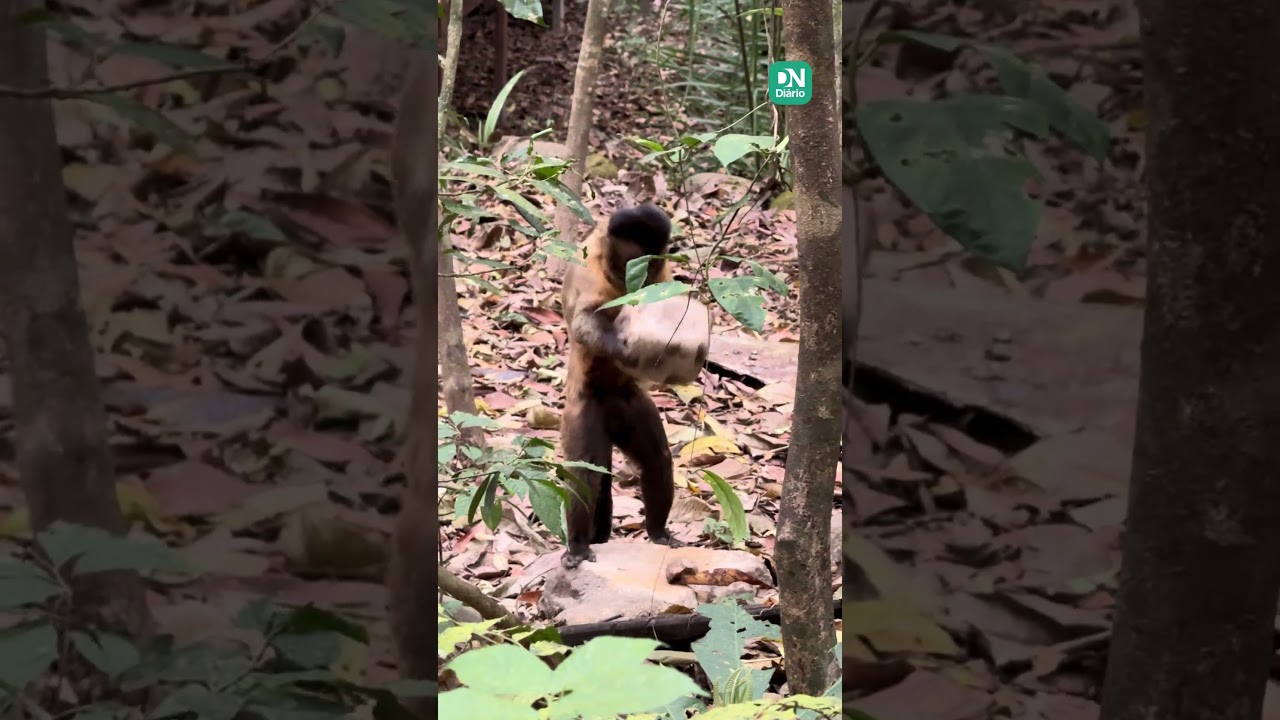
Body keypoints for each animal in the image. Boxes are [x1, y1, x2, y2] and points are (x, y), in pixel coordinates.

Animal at [559, 204, 682, 569]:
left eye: (648, 259)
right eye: (630, 258)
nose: (636, 275)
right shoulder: (589, 268)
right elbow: (585, 320)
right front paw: (623, 347)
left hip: (628, 403)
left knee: (656, 458)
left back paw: (657, 530)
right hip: (583, 409)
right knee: (585, 472)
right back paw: (579, 545)